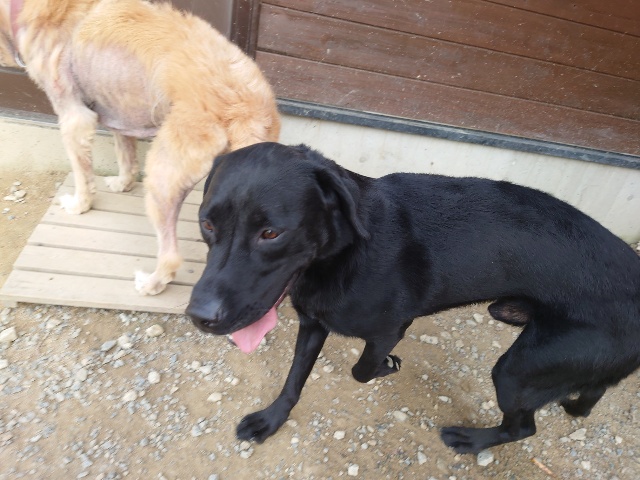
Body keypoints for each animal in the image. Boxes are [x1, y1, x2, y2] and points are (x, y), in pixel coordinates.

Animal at [0, 0, 280, 295]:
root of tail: (243, 108)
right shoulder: (120, 115)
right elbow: (126, 155)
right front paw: (122, 183)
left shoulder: (74, 117)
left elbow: (82, 175)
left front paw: (79, 205)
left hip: (162, 177)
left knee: (170, 254)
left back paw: (151, 283)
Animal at [186, 142, 640, 454]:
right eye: (206, 223)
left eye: (271, 233)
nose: (198, 316)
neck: (344, 255)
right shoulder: (313, 323)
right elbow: (293, 380)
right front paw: (272, 419)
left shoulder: (388, 330)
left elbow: (361, 370)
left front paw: (386, 367)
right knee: (590, 390)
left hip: (519, 369)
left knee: (523, 427)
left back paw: (471, 440)